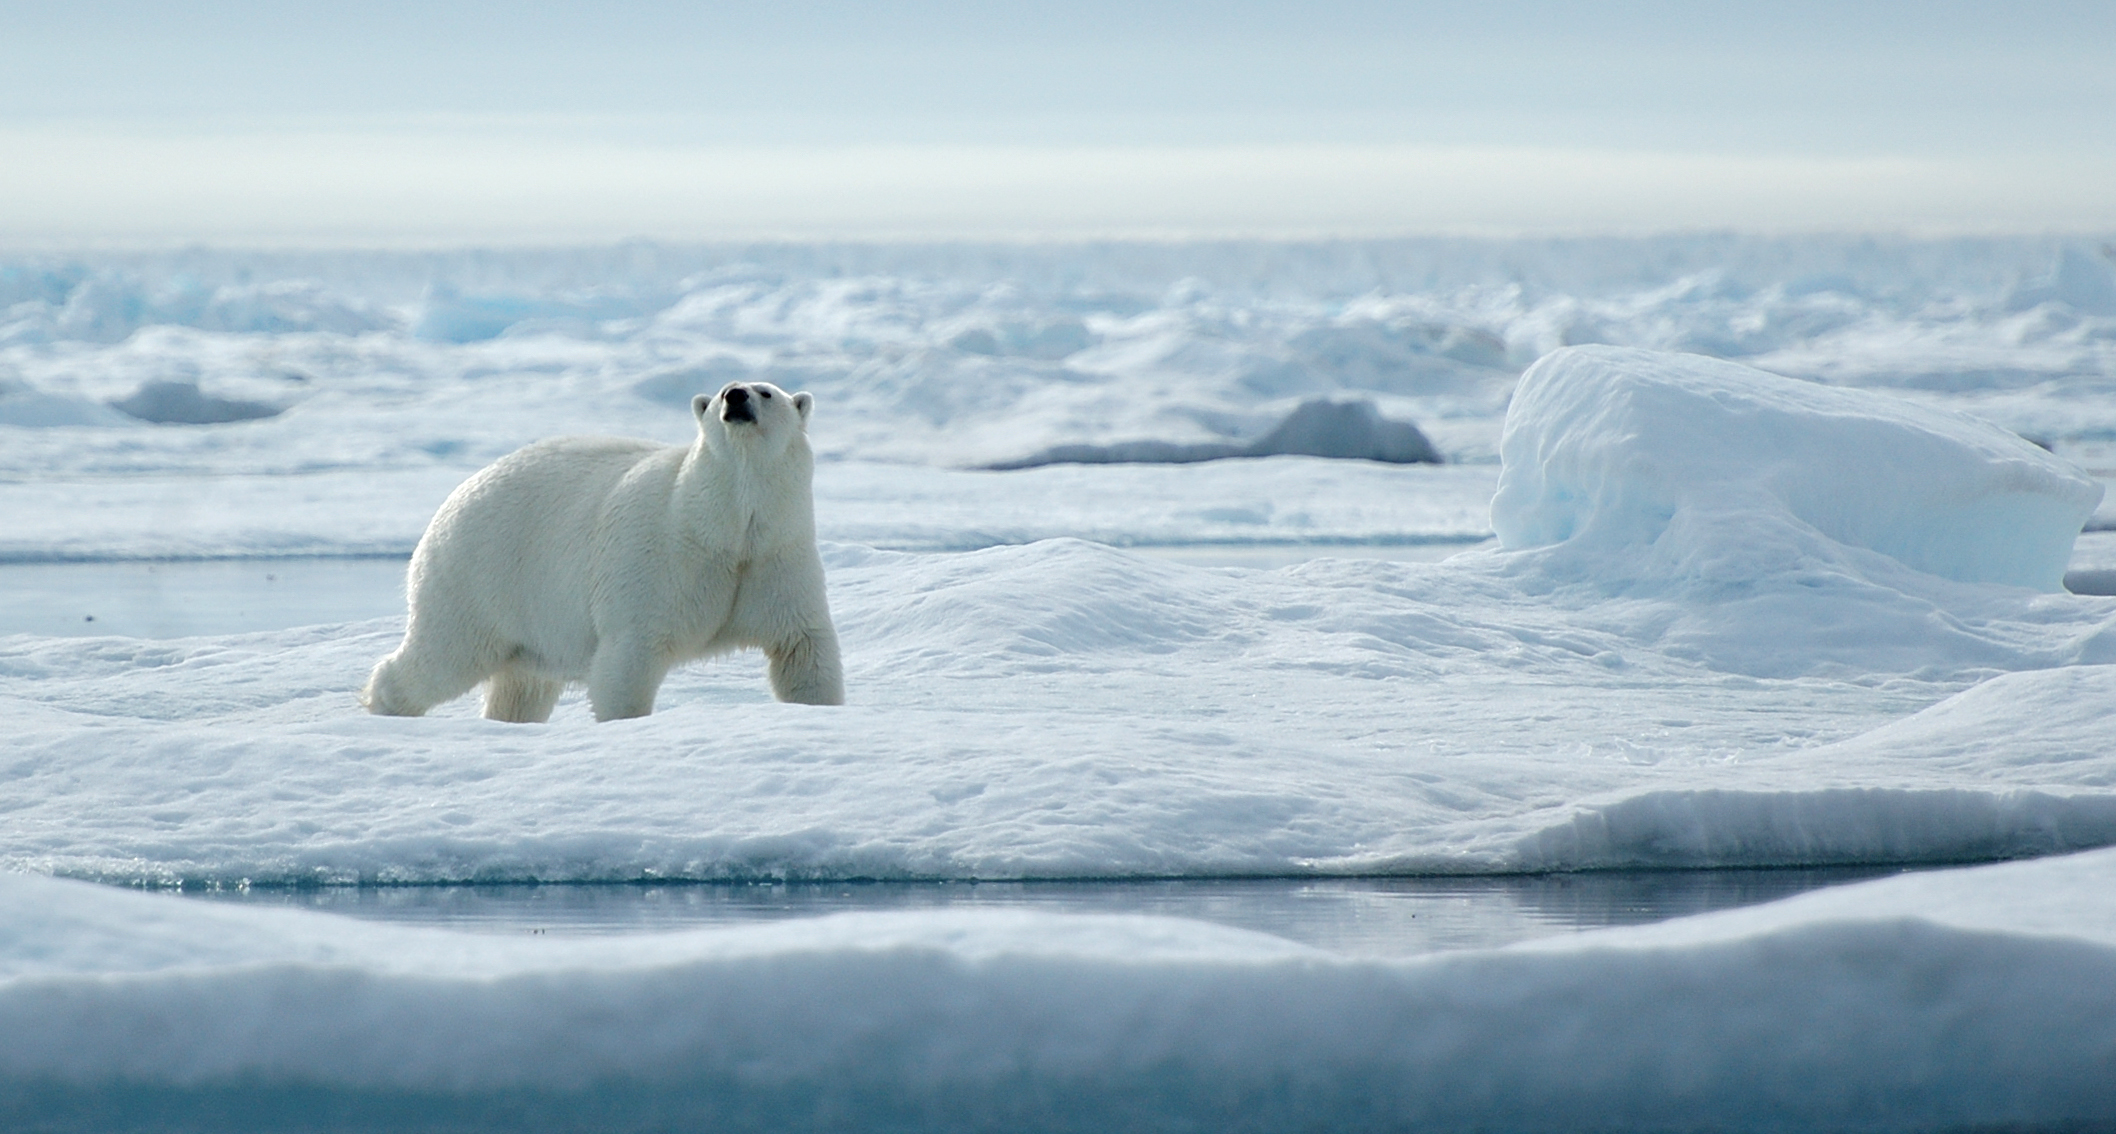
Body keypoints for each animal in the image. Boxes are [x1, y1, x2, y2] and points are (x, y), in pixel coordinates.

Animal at [361, 380, 842, 719]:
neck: (726, 530)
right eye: (723, 390)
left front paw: (820, 712)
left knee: (521, 686)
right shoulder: (660, 561)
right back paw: (384, 703)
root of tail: (451, 501)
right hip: (479, 578)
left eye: (766, 391)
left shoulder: (776, 556)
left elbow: (801, 647)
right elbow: (628, 659)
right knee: (444, 655)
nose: (736, 397)